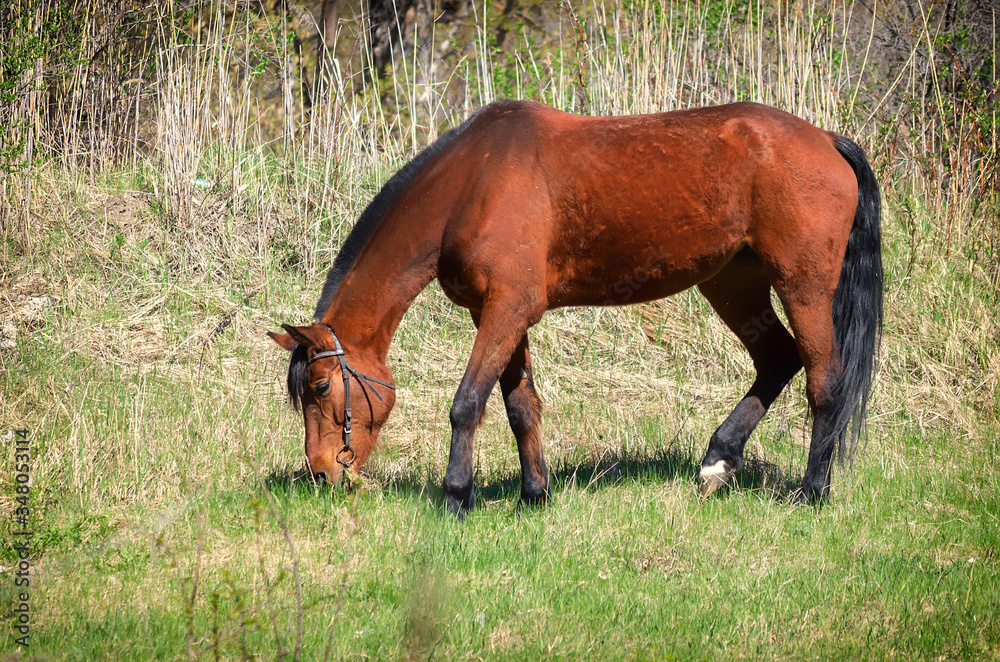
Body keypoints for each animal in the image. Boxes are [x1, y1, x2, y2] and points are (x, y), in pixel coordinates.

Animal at [269, 99, 883, 514]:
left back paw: (811, 492)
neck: (473, 182)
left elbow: (468, 404)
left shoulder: (505, 312)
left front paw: (457, 497)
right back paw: (718, 461)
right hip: (734, 284)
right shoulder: (499, 315)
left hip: (802, 284)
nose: (321, 475)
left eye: (320, 388)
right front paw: (534, 495)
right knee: (778, 360)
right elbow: (520, 406)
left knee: (825, 382)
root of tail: (827, 140)